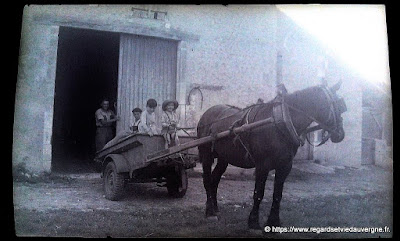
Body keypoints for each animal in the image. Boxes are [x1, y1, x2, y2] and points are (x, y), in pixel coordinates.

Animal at [197, 83, 346, 230]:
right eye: (339, 105)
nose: (340, 134)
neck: (280, 121)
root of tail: (207, 114)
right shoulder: (262, 165)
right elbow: (258, 193)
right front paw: (253, 222)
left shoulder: (285, 166)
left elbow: (277, 194)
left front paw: (273, 222)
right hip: (206, 154)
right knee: (207, 180)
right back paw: (210, 212)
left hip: (224, 157)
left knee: (215, 180)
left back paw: (215, 209)